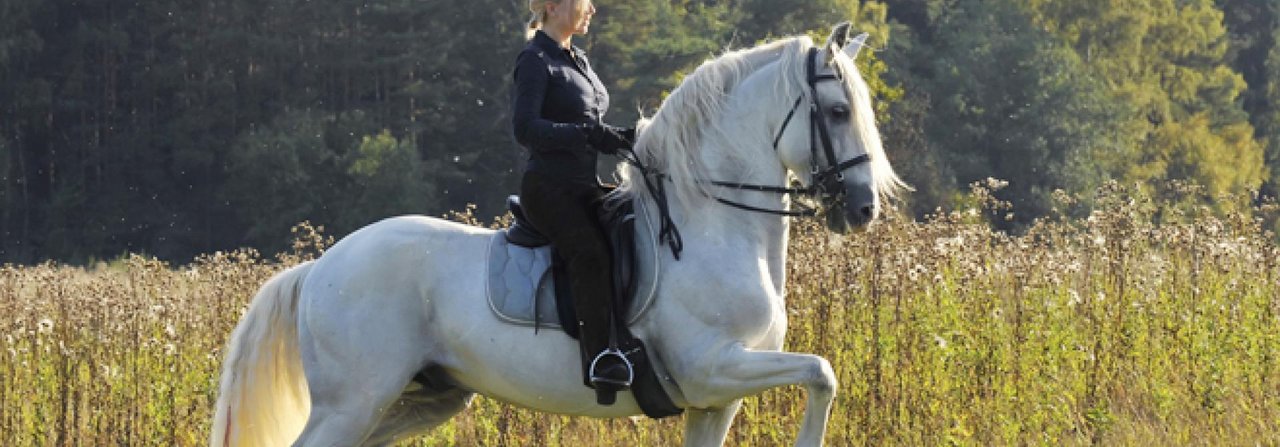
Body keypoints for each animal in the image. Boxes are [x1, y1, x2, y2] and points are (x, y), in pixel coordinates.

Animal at [209, 22, 906, 443]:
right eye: (837, 111)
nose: (863, 209)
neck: (713, 226)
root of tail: (322, 265)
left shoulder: (715, 401)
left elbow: (815, 375)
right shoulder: (715, 368)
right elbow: (822, 372)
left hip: (420, 399)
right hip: (351, 400)